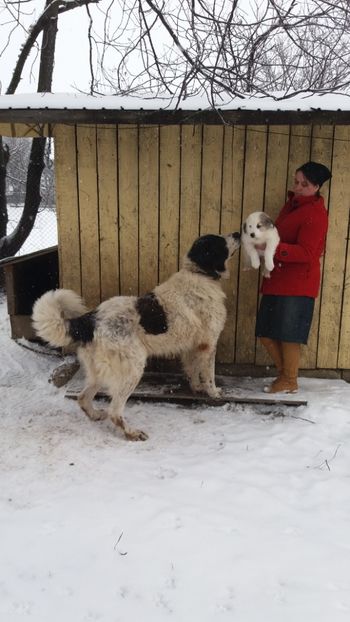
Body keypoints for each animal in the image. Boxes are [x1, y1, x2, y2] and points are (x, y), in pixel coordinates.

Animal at [32, 234, 241, 444]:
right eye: (220, 241)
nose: (238, 233)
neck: (200, 273)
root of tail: (90, 319)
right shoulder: (209, 344)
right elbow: (209, 374)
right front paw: (213, 393)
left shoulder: (193, 346)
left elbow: (193, 370)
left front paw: (196, 388)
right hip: (133, 368)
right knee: (114, 411)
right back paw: (132, 433)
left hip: (99, 373)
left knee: (83, 398)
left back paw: (95, 415)